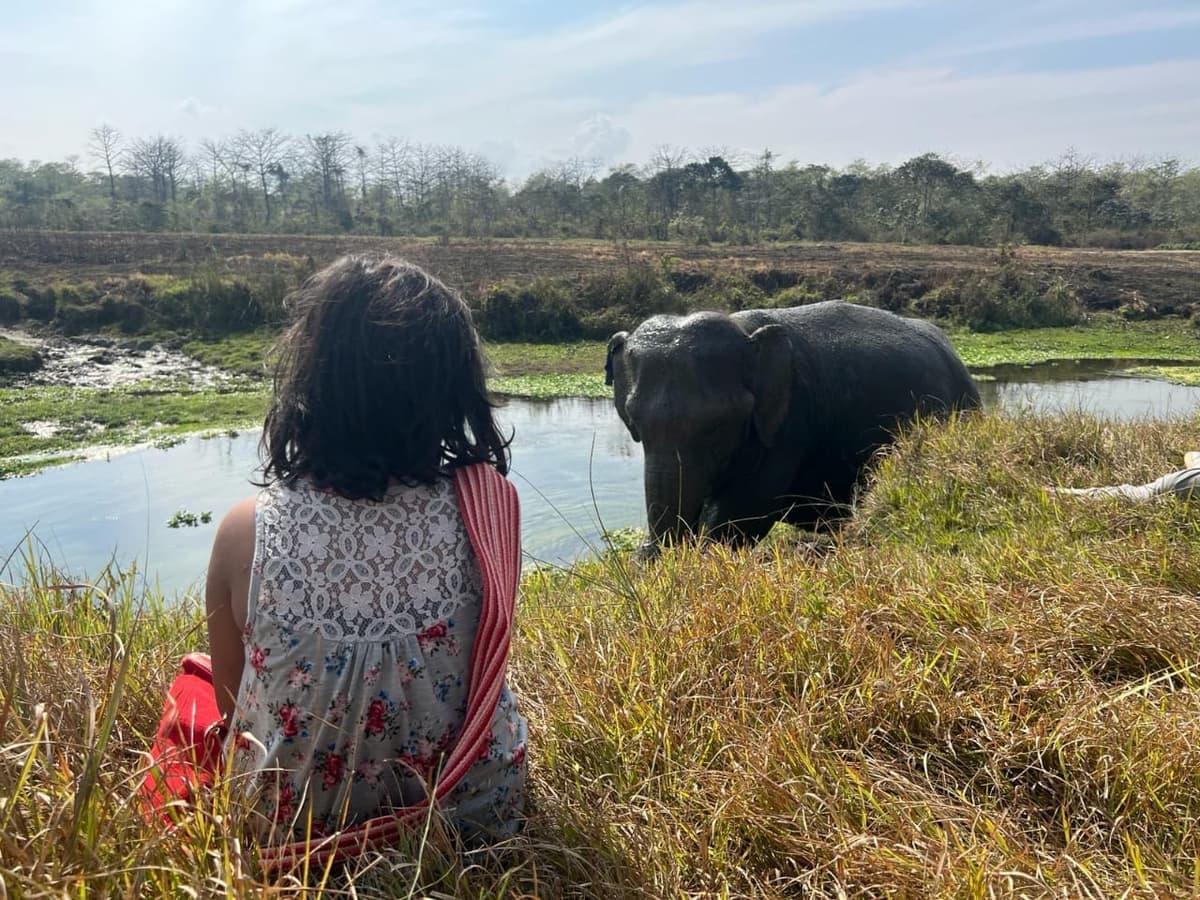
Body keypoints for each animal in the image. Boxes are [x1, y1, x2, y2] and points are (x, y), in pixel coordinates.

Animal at [604, 300, 980, 553]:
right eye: (634, 420)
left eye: (717, 425)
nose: (648, 552)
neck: (744, 330)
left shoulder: (789, 422)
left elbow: (747, 508)